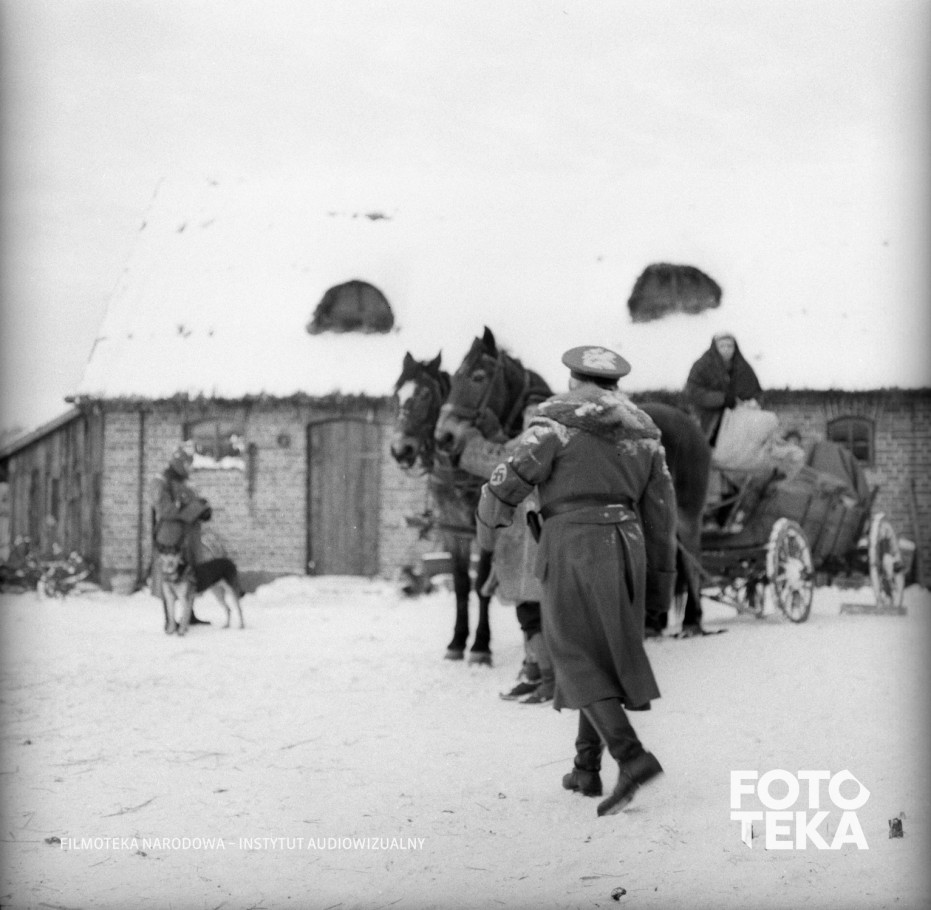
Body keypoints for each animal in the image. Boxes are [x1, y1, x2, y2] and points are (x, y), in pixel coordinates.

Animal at [390, 352, 494, 664]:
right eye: (396, 394)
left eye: (426, 394)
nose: (400, 450)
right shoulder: (452, 529)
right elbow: (461, 582)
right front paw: (457, 641)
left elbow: (482, 581)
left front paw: (481, 646)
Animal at [433, 328, 710, 636]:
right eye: (453, 378)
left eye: (478, 377)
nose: (444, 436)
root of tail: (689, 422)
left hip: (688, 516)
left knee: (692, 560)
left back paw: (692, 618)